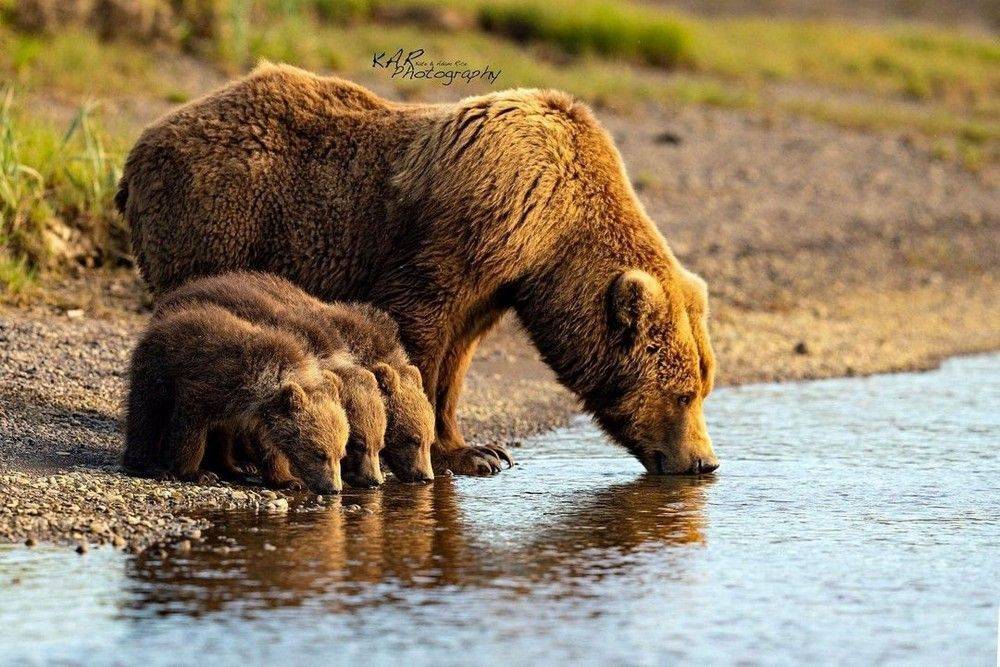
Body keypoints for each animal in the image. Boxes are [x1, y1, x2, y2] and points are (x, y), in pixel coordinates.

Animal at [119, 64, 720, 474]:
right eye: (683, 393)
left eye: (703, 386)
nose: (704, 462)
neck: (551, 233)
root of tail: (143, 142)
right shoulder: (469, 226)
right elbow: (420, 326)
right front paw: (435, 446)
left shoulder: (495, 282)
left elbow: (458, 354)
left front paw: (477, 448)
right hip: (222, 218)